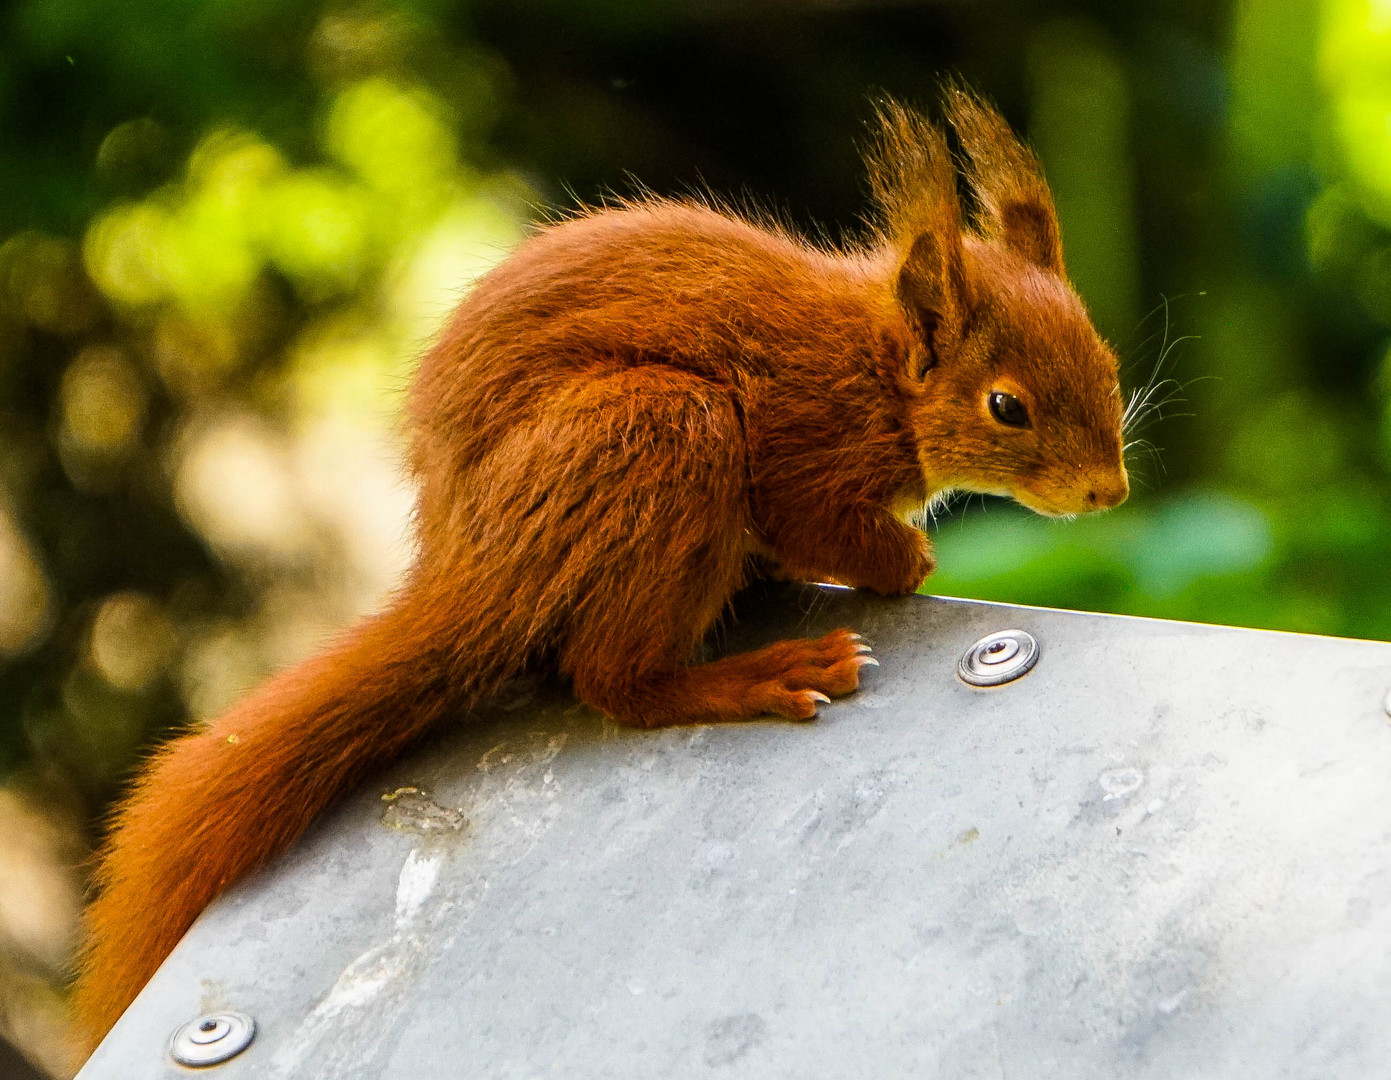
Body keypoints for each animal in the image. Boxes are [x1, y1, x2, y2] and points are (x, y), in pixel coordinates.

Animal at [70, 88, 1123, 1052]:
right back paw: (758, 674)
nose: (1107, 491)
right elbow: (827, 531)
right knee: (613, 680)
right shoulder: (799, 448)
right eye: (1006, 407)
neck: (876, 370)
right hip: (659, 430)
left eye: (1107, 366)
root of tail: (467, 568)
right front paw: (905, 559)